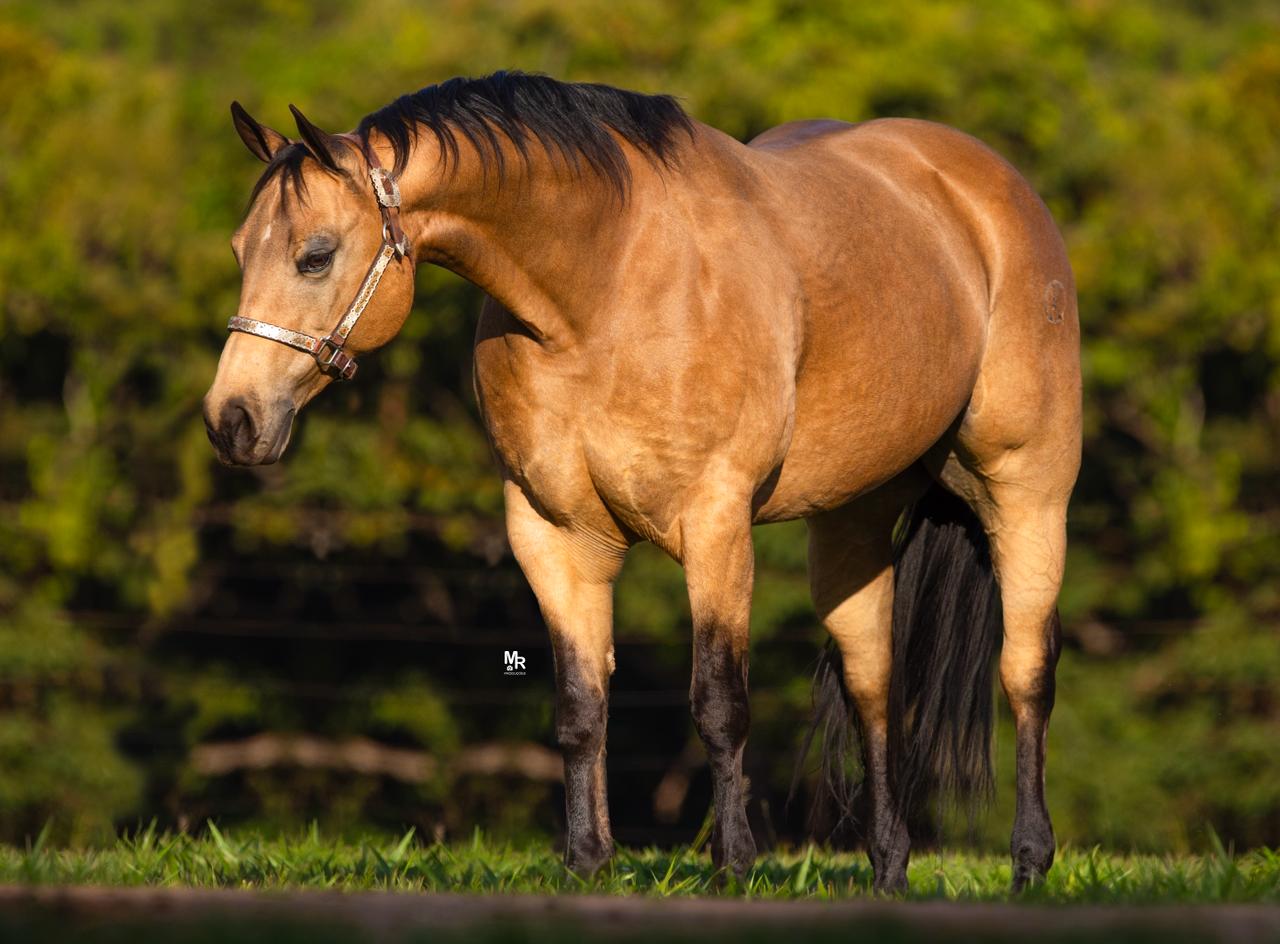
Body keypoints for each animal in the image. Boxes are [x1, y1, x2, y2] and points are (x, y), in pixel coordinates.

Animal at [203, 71, 1081, 892]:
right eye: (240, 251)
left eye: (316, 254)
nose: (232, 420)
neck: (603, 291)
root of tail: (987, 190)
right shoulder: (552, 535)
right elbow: (581, 706)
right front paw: (588, 863)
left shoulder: (717, 523)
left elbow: (719, 704)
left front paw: (733, 868)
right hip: (853, 522)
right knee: (873, 685)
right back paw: (890, 871)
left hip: (1027, 493)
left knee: (1027, 672)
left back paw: (1030, 865)